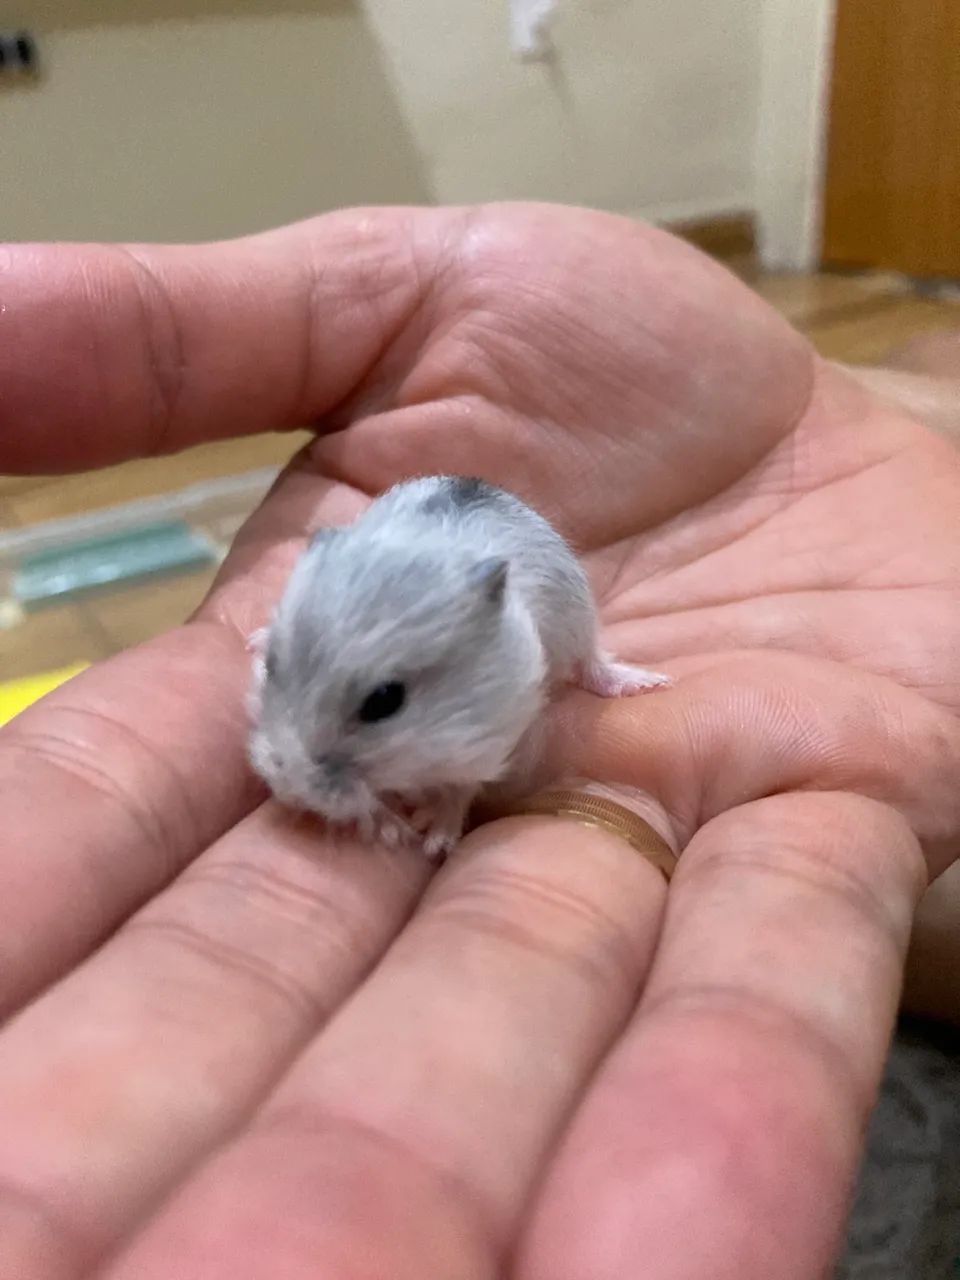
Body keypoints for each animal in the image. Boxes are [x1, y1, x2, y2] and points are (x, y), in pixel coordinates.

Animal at [247, 475, 671, 858]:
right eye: (271, 667)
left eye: (384, 701)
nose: (288, 792)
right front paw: (387, 827)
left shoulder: (485, 742)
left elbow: (458, 790)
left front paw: (431, 837)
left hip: (578, 620)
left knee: (592, 662)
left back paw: (647, 683)